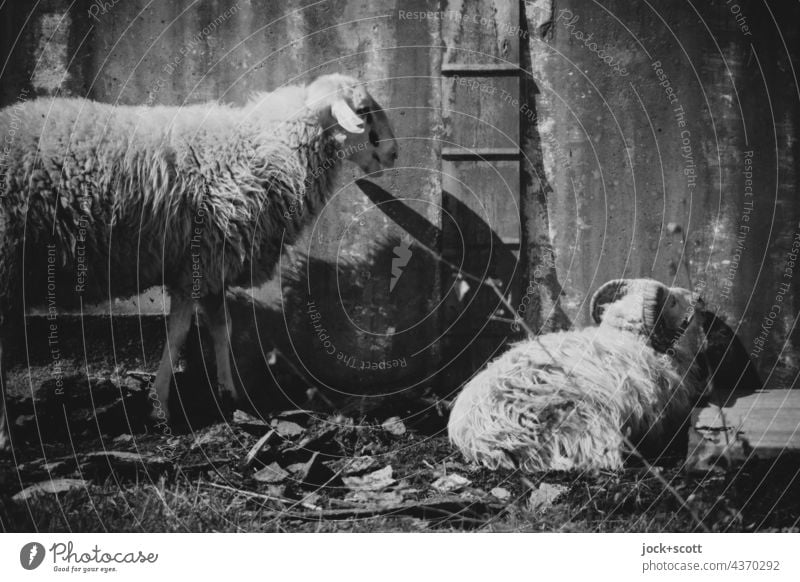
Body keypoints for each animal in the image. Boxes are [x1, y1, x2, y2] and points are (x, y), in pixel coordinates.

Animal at [0, 72, 400, 448]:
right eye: (363, 110)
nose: (395, 153)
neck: (262, 150)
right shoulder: (199, 260)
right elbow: (179, 334)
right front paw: (160, 405)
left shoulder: (213, 262)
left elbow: (222, 327)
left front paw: (229, 393)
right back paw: (6, 434)